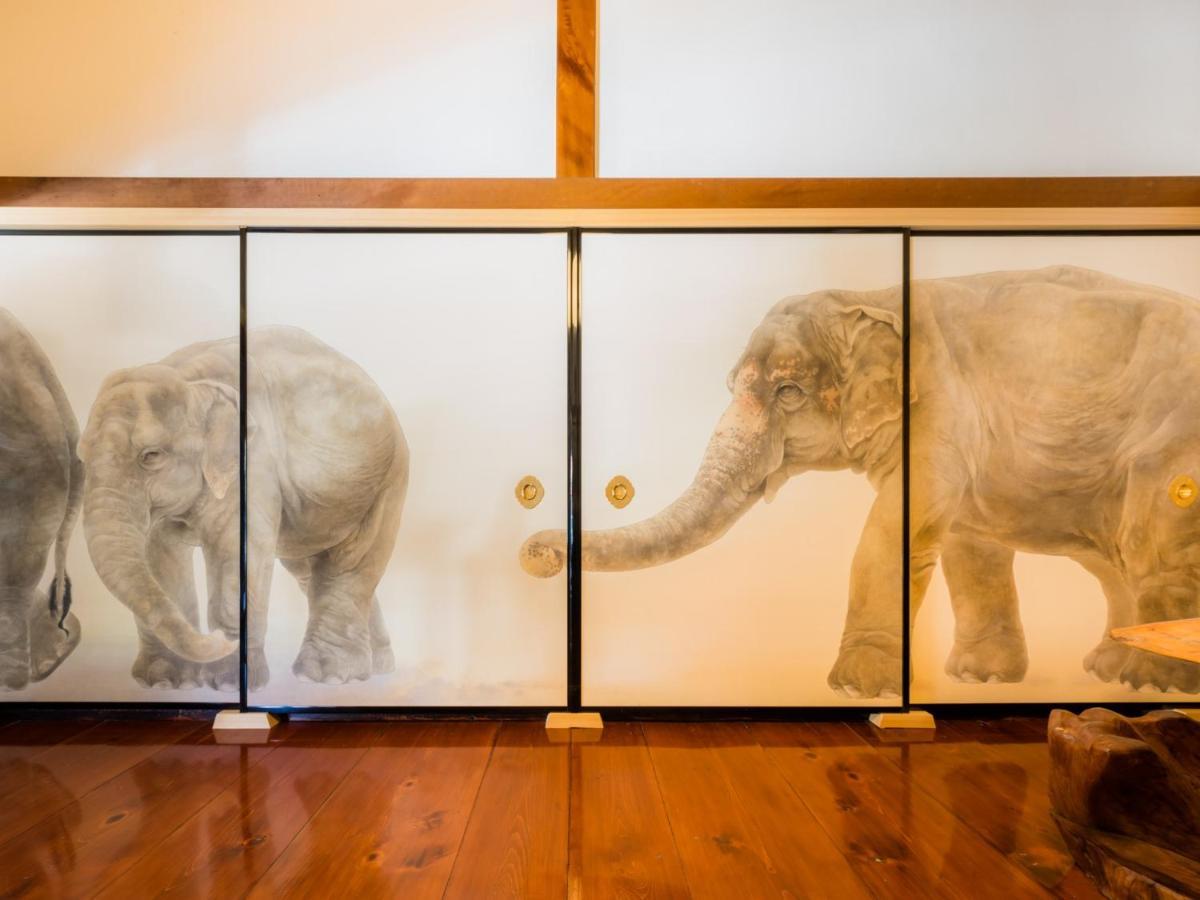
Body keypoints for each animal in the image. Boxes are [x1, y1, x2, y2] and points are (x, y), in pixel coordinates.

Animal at [81, 328, 408, 696]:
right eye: (80, 457)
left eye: (150, 455)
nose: (217, 637)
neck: (193, 381)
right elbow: (157, 555)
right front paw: (164, 682)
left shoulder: (255, 461)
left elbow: (238, 549)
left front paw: (226, 683)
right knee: (310, 571)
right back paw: (377, 666)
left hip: (388, 477)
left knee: (352, 560)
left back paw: (326, 676)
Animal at [520, 267, 1200, 705]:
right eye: (732, 384)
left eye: (787, 391)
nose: (538, 554)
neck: (872, 297)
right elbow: (964, 541)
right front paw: (978, 679)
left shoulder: (939, 408)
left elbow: (896, 528)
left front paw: (854, 686)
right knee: (1115, 559)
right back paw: (1108, 668)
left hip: (1172, 445)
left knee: (1152, 537)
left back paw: (1149, 682)